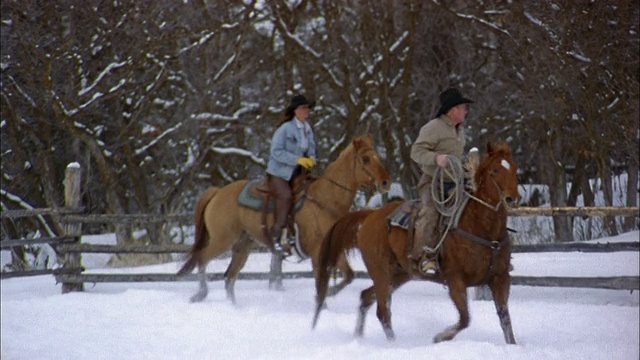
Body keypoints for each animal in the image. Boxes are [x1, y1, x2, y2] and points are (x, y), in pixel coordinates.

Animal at [178, 135, 392, 304]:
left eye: (379, 157)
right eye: (365, 158)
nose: (386, 182)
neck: (324, 200)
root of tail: (217, 192)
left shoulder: (331, 250)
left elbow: (349, 275)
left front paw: (329, 294)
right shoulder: (317, 253)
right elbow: (321, 283)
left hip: (243, 244)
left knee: (229, 277)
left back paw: (234, 307)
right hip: (222, 240)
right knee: (203, 259)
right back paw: (200, 294)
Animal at [314, 141, 520, 344]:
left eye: (514, 167)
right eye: (494, 170)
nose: (512, 198)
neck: (481, 227)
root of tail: (371, 215)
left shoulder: (500, 278)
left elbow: (505, 320)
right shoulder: (455, 280)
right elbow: (465, 318)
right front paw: (440, 337)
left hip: (399, 274)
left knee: (366, 297)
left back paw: (358, 336)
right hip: (381, 273)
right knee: (383, 312)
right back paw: (393, 345)